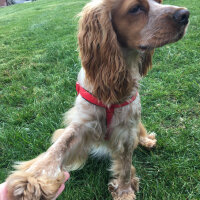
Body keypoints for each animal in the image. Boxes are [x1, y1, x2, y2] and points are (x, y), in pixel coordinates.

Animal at [5, 0, 189, 200]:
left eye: (159, 2)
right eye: (135, 8)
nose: (185, 14)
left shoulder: (126, 130)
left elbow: (125, 168)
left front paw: (124, 191)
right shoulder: (83, 124)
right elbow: (59, 146)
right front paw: (31, 180)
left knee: (140, 132)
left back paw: (147, 141)